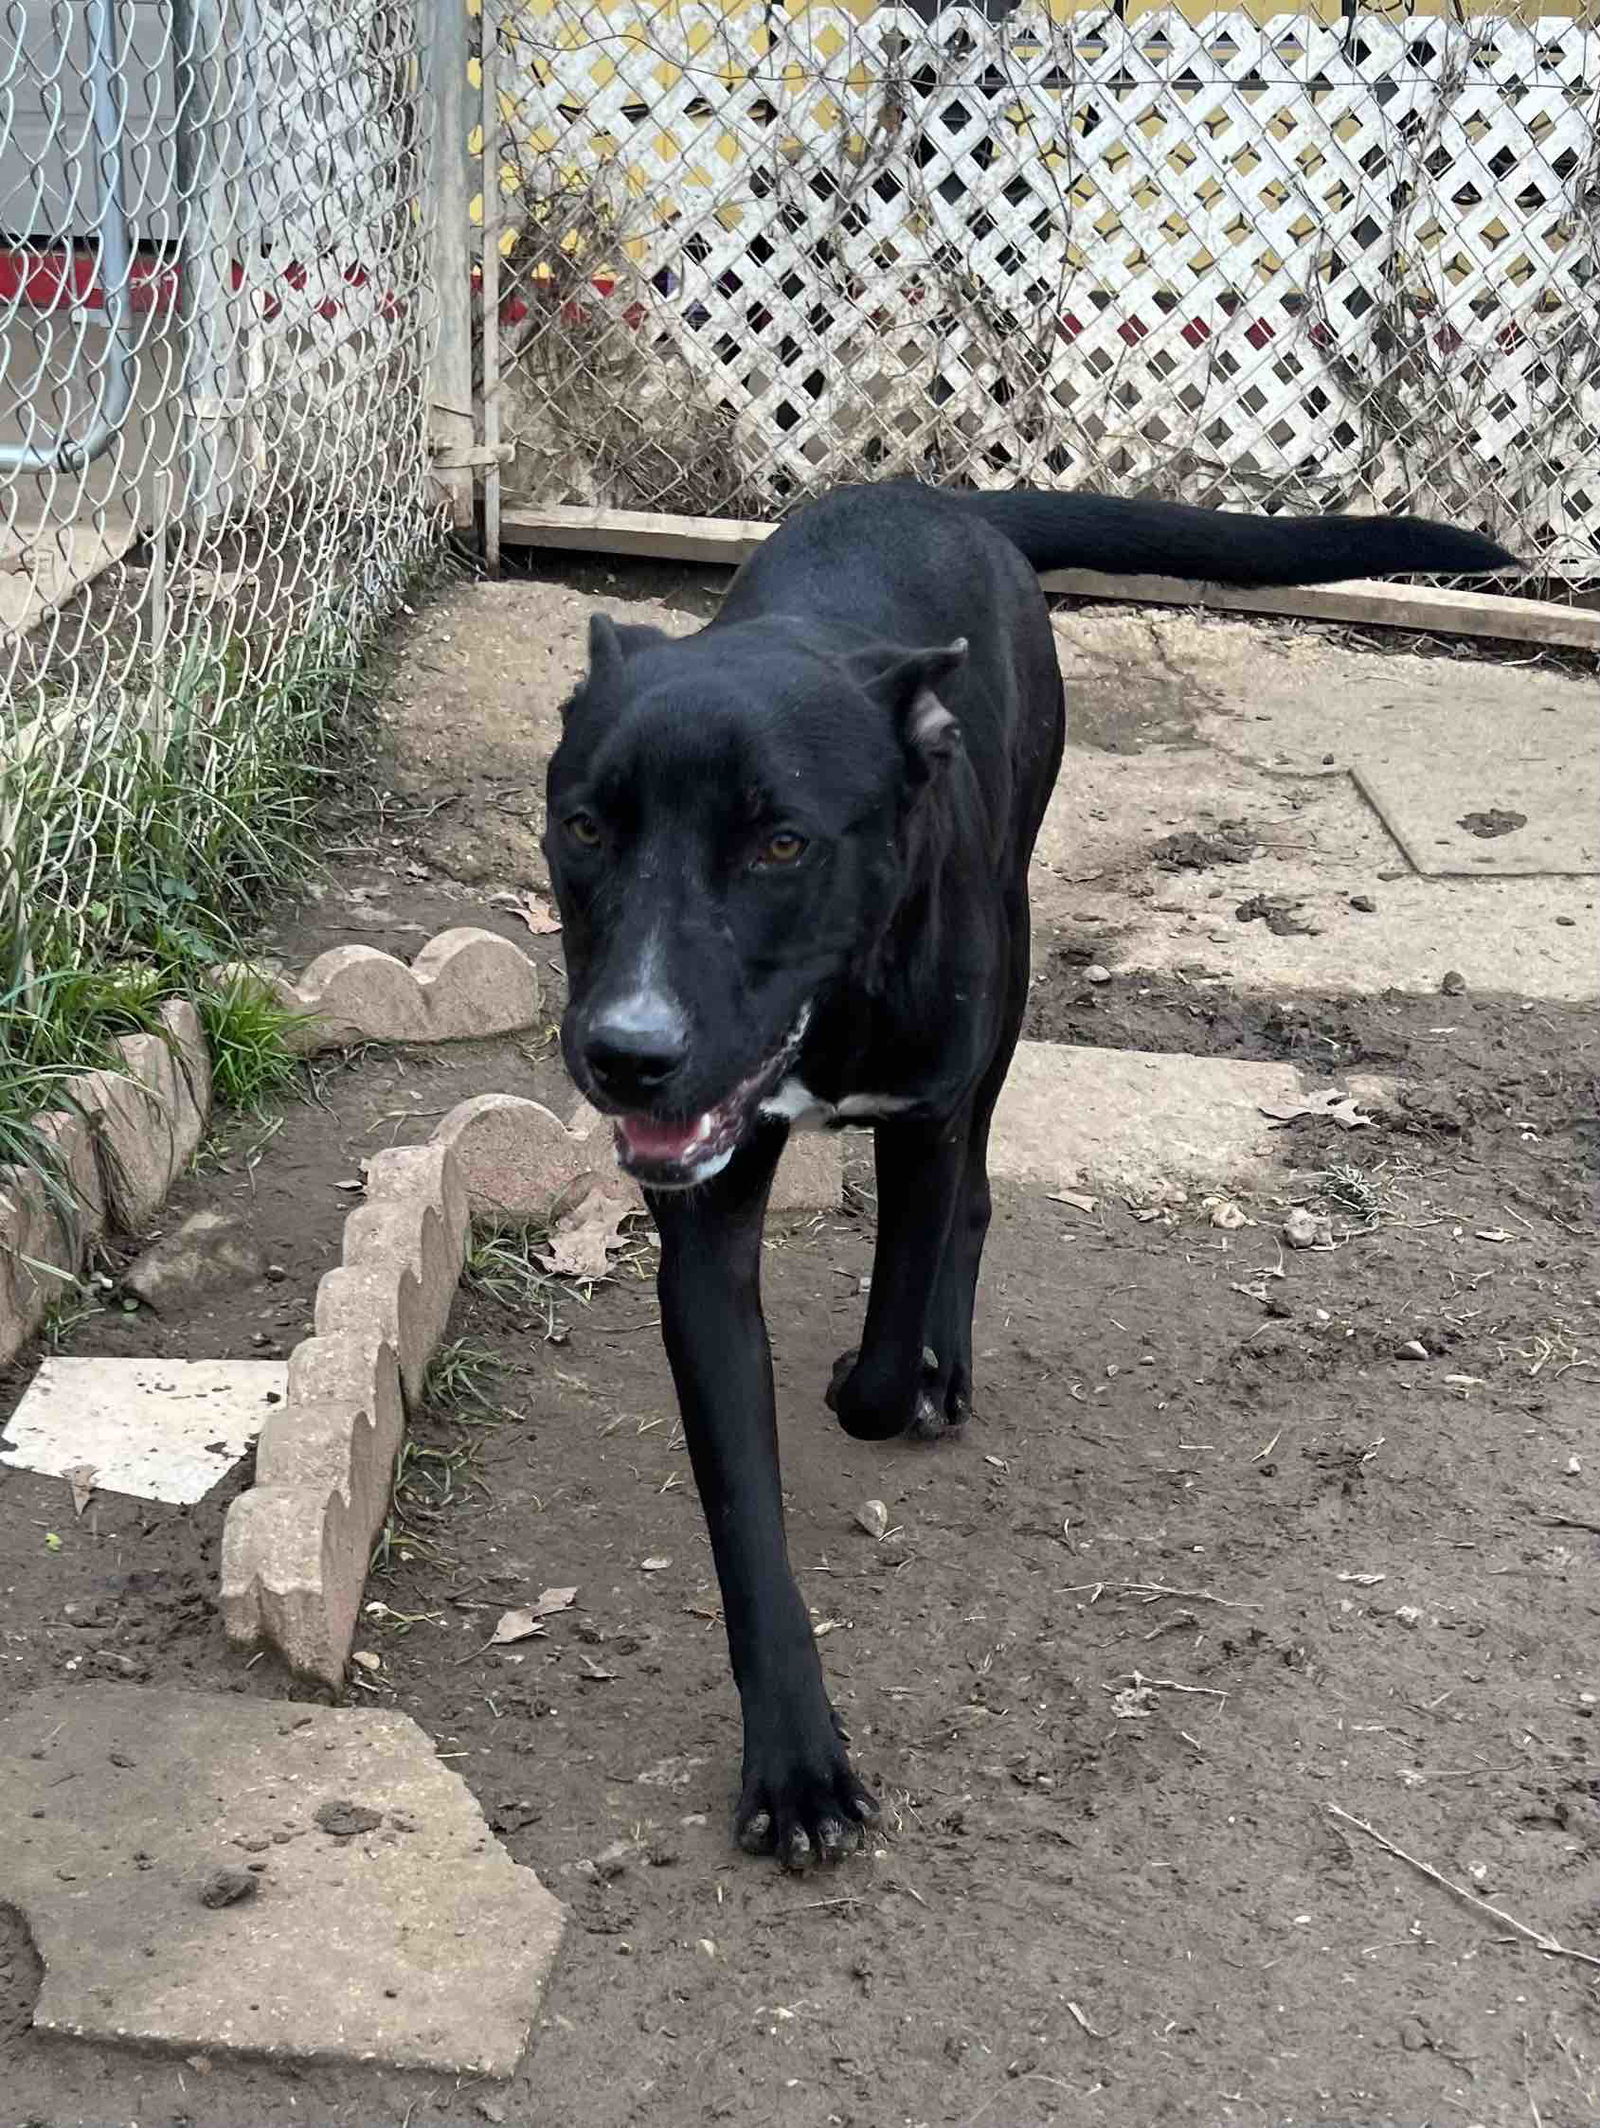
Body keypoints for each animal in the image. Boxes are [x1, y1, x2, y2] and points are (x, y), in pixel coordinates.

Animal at [544, 478, 1506, 1864]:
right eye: (583, 826)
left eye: (780, 844)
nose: (627, 1051)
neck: (832, 1017)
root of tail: (932, 491)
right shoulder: (706, 1222)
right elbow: (744, 1517)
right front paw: (795, 1765)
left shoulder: (924, 1118)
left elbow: (881, 1359)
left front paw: (897, 1379)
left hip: (1011, 949)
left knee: (980, 1195)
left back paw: (944, 1359)